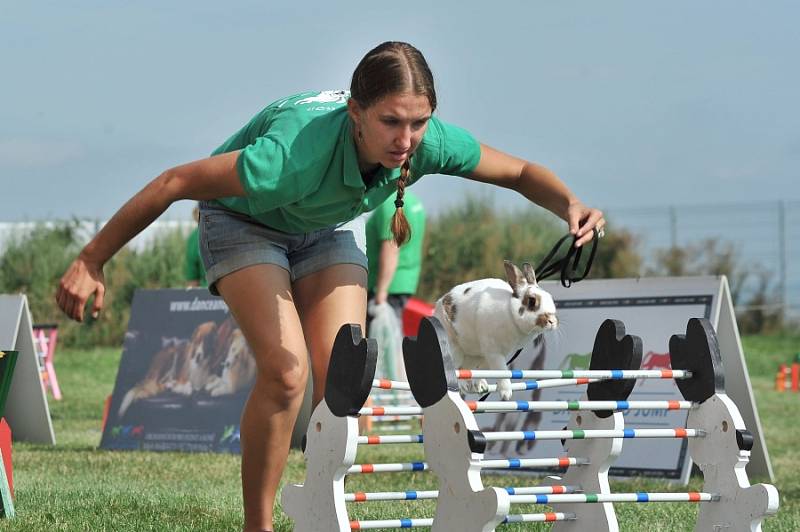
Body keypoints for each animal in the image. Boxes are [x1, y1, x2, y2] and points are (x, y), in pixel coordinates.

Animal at [434, 260, 560, 402]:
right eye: (532, 301)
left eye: (550, 297)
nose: (552, 321)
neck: (510, 313)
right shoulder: (494, 351)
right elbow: (502, 370)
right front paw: (506, 394)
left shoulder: (491, 355)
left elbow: (485, 370)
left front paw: (481, 387)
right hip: (454, 349)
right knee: (455, 369)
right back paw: (462, 386)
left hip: (474, 356)